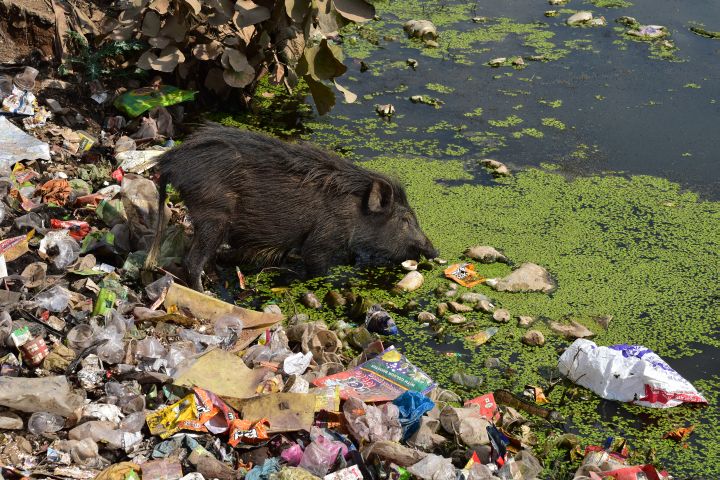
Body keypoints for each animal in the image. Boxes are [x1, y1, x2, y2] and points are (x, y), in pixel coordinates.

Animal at [145, 124, 438, 288]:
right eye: (405, 219)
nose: (434, 251)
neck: (353, 212)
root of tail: (168, 162)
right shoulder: (319, 243)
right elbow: (318, 269)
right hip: (213, 216)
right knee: (193, 261)